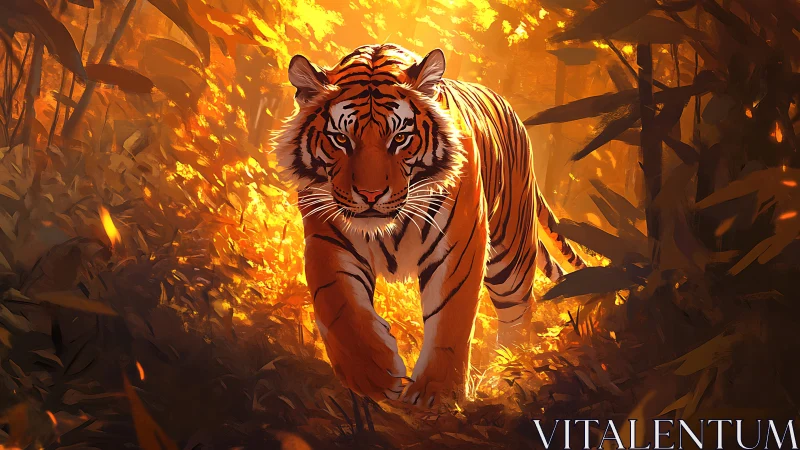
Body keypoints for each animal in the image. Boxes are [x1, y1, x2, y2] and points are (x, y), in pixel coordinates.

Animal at [273, 44, 585, 407]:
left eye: (400, 138)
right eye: (340, 139)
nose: (370, 195)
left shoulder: (459, 243)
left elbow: (451, 317)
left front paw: (437, 396)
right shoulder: (329, 239)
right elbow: (340, 307)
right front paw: (374, 376)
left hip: (511, 252)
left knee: (518, 311)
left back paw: (508, 375)